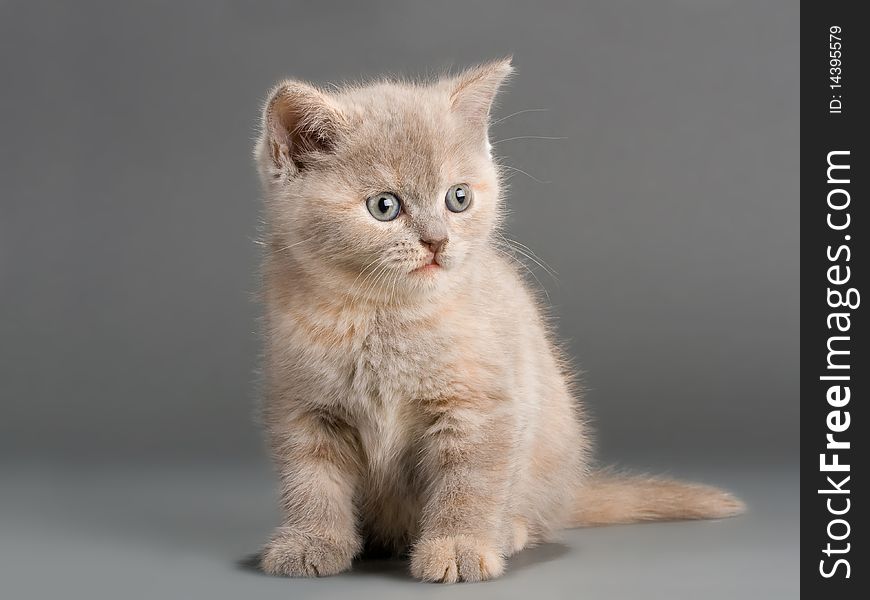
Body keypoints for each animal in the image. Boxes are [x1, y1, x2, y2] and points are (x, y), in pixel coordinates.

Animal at [250, 58, 744, 584]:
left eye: (458, 198)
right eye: (384, 206)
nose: (437, 240)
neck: (385, 316)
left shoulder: (481, 406)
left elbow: (469, 484)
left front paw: (459, 547)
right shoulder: (303, 409)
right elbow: (311, 483)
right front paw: (311, 542)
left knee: (533, 515)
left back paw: (508, 532)